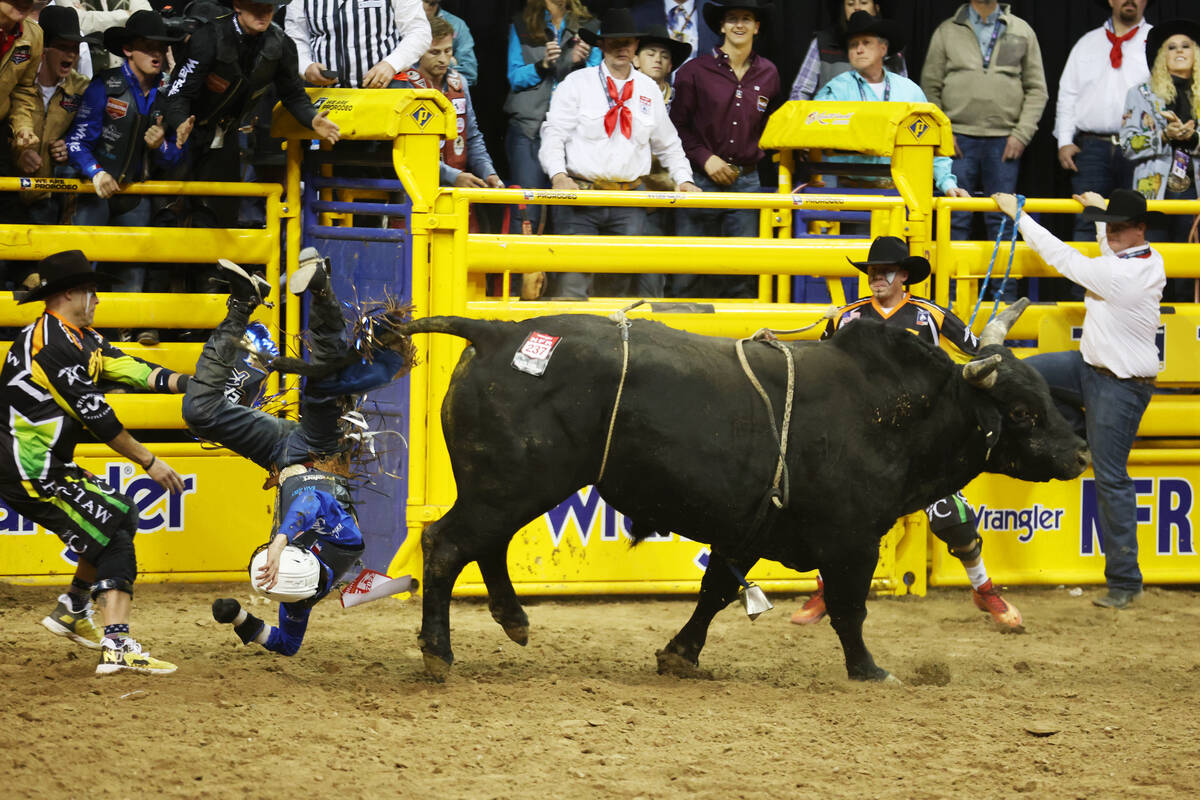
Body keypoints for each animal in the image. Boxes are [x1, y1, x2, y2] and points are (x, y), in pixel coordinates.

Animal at [398, 299, 1094, 681]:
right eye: (1024, 411)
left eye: (1045, 396)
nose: (1079, 452)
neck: (889, 409)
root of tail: (498, 334)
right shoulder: (851, 540)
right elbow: (849, 609)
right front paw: (869, 670)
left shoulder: (748, 527)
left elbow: (714, 592)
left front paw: (679, 655)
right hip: (512, 484)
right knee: (446, 544)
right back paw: (438, 653)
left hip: (508, 484)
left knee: (482, 546)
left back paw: (513, 620)